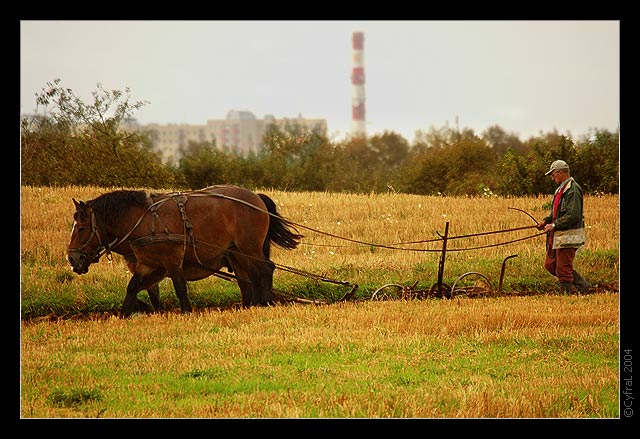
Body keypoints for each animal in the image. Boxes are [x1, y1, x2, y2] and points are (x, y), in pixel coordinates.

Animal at [66, 186, 302, 316]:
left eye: (81, 228)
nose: (72, 258)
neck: (144, 220)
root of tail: (257, 198)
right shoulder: (146, 264)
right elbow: (133, 288)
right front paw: (125, 313)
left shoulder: (172, 260)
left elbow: (179, 288)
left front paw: (186, 312)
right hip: (239, 252)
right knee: (250, 278)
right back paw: (253, 304)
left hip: (249, 246)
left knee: (266, 269)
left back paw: (267, 301)